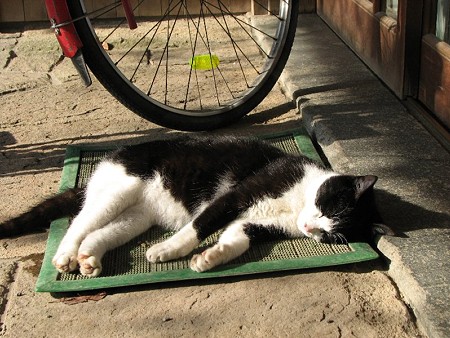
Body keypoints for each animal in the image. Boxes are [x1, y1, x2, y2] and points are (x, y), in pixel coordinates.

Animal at [0, 136, 392, 276]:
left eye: (333, 236)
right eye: (329, 211)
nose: (312, 229)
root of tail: (112, 157)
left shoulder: (254, 223)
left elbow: (236, 240)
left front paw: (209, 258)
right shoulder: (238, 195)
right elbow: (201, 224)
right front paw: (171, 249)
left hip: (136, 217)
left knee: (103, 233)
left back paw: (89, 259)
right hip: (119, 190)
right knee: (79, 222)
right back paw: (66, 255)